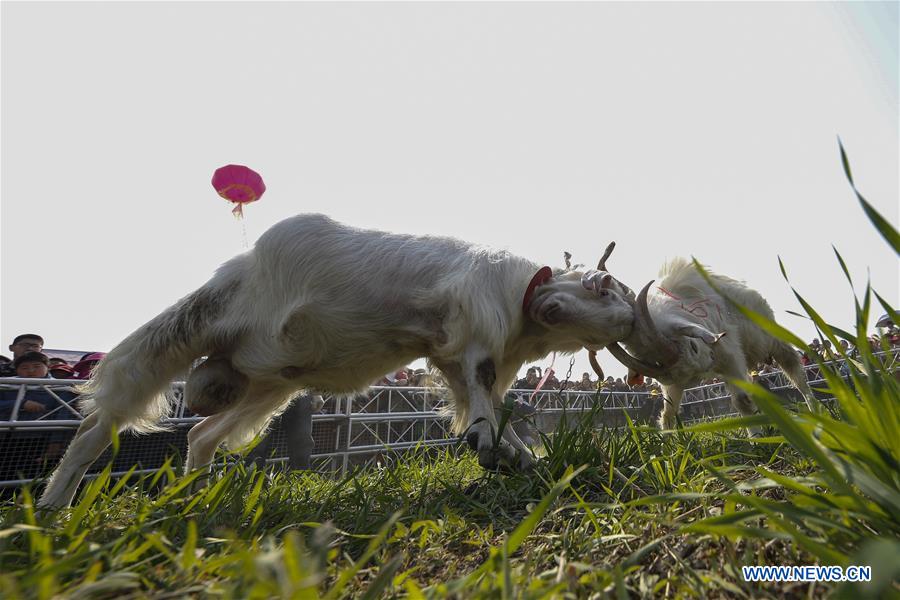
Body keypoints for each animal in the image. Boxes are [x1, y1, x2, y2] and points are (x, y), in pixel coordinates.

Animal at [40, 213, 632, 508]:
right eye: (603, 287)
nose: (630, 321)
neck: (523, 300)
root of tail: (235, 270)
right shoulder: (473, 324)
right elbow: (483, 399)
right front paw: (493, 449)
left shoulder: (453, 356)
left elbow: (484, 403)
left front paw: (522, 460)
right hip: (195, 323)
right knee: (101, 422)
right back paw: (52, 506)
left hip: (267, 384)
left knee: (202, 436)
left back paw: (193, 498)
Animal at [596, 258, 816, 432]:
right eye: (668, 373)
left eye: (693, 347)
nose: (709, 365)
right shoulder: (673, 382)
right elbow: (668, 413)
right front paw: (670, 447)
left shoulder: (729, 354)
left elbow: (742, 400)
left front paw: (756, 438)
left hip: (771, 337)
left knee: (794, 370)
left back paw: (815, 410)